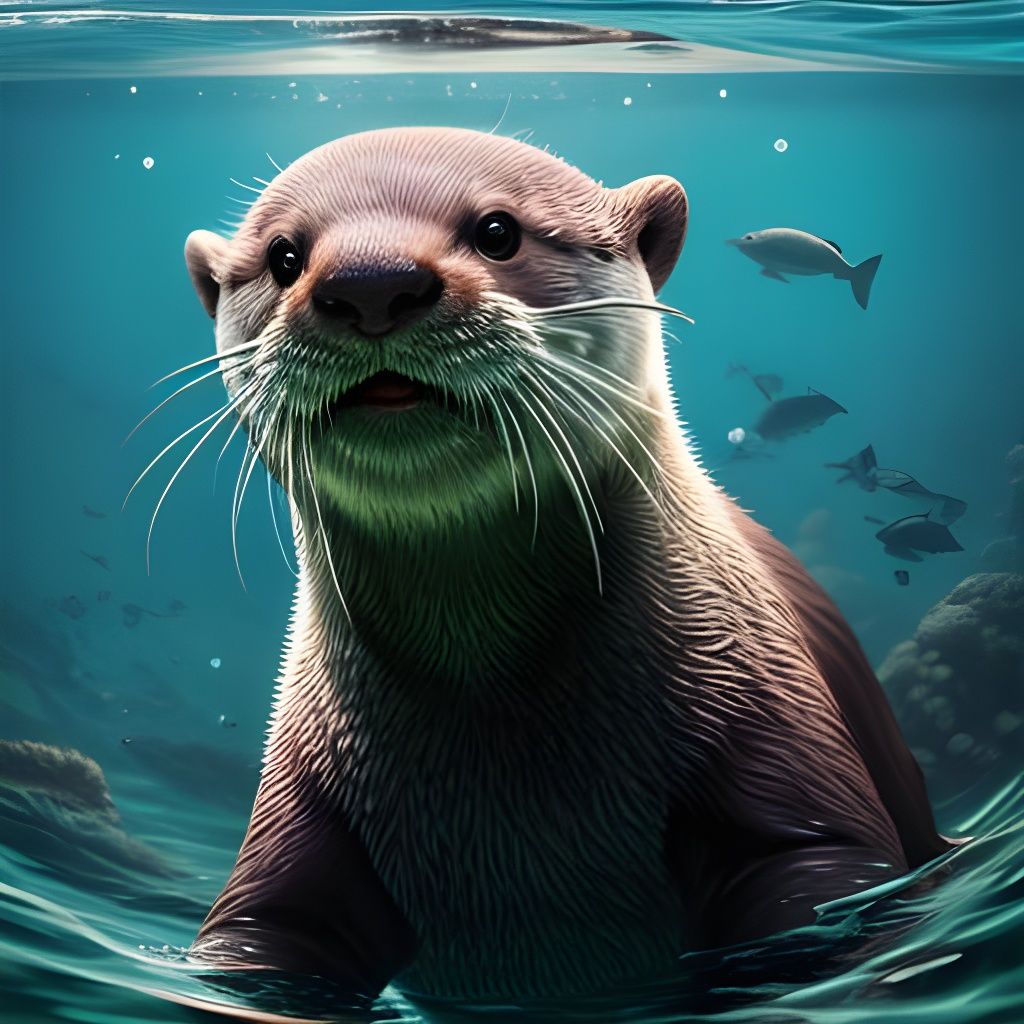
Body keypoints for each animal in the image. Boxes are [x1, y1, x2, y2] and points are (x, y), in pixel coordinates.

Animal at [181, 127, 950, 1001]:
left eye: (497, 231)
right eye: (283, 256)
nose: (372, 284)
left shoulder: (772, 723)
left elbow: (823, 889)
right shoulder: (302, 800)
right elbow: (262, 936)